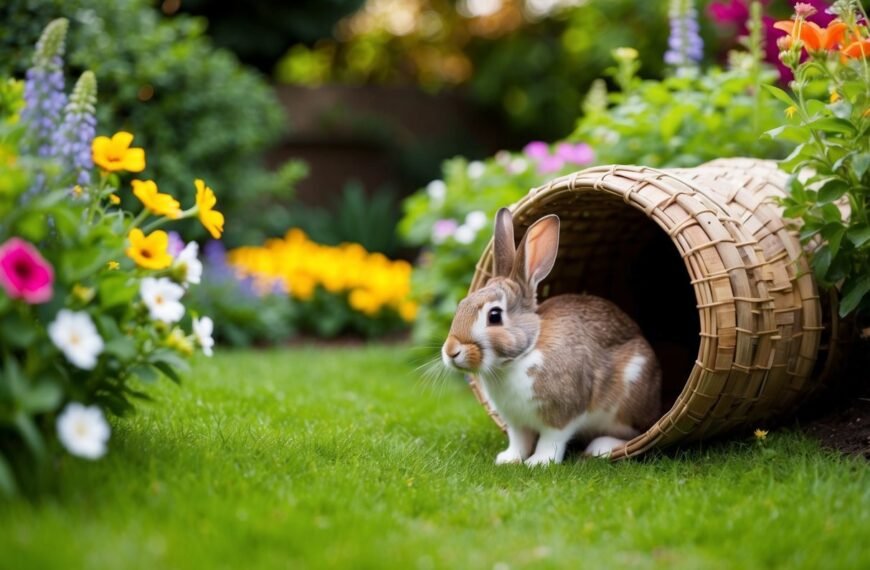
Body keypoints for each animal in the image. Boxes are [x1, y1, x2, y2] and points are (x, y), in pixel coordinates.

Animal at [442, 206, 660, 464]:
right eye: (461, 304)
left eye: (494, 316)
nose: (451, 351)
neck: (523, 354)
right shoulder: (516, 421)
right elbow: (519, 440)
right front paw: (508, 459)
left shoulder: (562, 413)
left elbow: (552, 439)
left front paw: (538, 463)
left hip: (628, 401)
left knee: (633, 432)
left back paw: (601, 448)